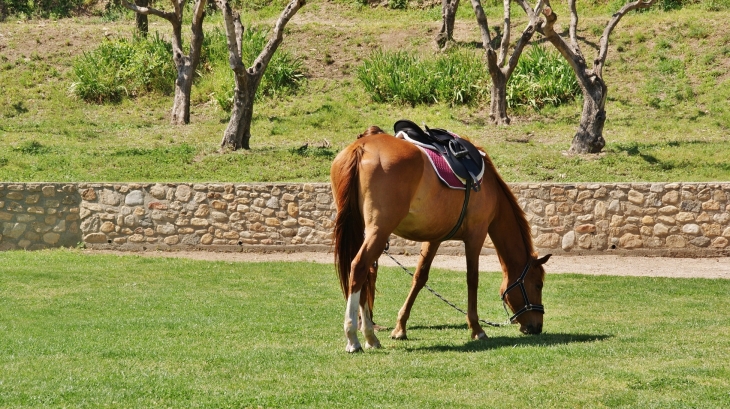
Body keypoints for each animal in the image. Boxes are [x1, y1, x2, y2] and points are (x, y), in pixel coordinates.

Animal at [328, 124, 544, 350]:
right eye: (538, 285)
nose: (537, 326)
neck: (489, 186)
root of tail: (361, 147)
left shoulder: (434, 238)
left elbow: (419, 278)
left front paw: (400, 328)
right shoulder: (476, 235)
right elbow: (472, 279)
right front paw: (477, 328)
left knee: (366, 272)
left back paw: (370, 336)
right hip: (379, 230)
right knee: (359, 267)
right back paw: (355, 336)